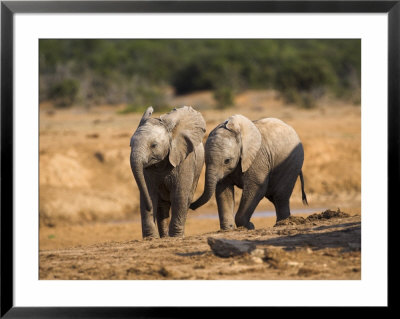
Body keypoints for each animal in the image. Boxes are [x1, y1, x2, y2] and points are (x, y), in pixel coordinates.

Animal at [130, 106, 206, 239]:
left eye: (154, 145)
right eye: (130, 144)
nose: (150, 208)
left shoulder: (185, 159)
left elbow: (179, 194)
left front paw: (175, 237)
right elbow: (148, 193)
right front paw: (150, 238)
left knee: (186, 199)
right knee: (162, 206)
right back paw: (164, 237)